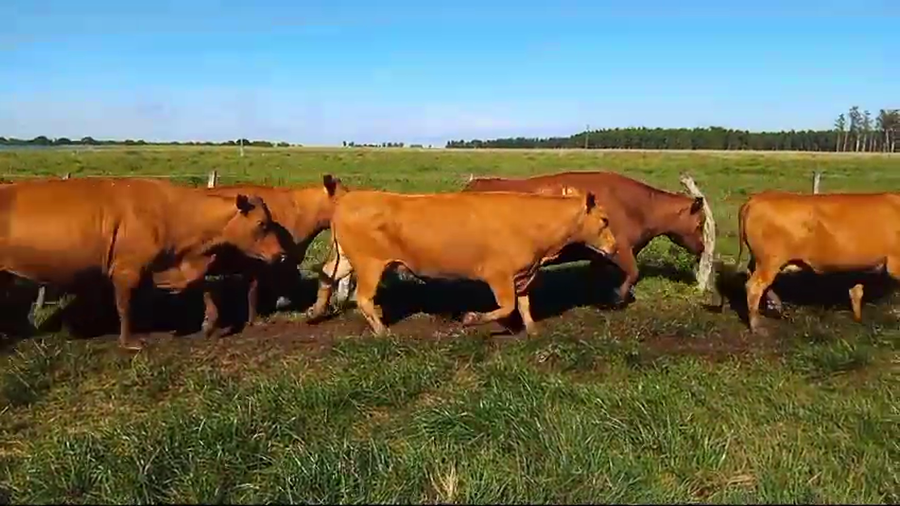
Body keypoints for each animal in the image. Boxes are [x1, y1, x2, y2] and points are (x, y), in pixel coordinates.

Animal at [0, 177, 288, 350]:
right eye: (262, 224)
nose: (281, 254)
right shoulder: (127, 270)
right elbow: (124, 306)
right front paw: (129, 342)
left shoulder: (167, 266)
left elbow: (203, 287)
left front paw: (209, 323)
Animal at [304, 188, 618, 336]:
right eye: (604, 220)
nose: (614, 247)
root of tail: (348, 199)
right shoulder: (498, 275)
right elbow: (507, 306)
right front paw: (471, 319)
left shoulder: (523, 274)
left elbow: (525, 305)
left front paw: (532, 330)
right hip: (370, 263)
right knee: (363, 298)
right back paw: (383, 332)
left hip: (347, 258)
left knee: (326, 275)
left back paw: (315, 312)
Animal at [462, 171, 713, 307]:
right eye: (700, 223)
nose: (702, 247)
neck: (638, 208)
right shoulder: (622, 249)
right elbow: (634, 273)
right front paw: (617, 297)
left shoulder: (600, 254)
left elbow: (595, 276)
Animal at [732, 190, 900, 334]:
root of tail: (756, 199)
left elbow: (856, 292)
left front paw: (857, 318)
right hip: (770, 261)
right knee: (754, 286)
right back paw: (757, 326)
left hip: (761, 261)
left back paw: (775, 306)